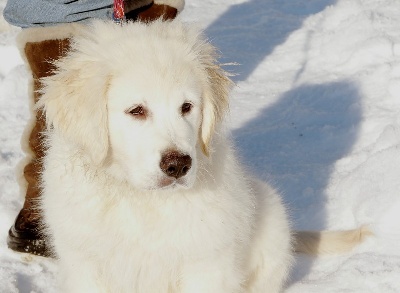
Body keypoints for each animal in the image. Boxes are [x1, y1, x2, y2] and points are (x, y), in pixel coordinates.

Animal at [37, 20, 368, 292]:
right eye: (136, 111)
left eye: (186, 107)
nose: (178, 165)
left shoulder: (208, 264)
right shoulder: (85, 264)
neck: (144, 201)